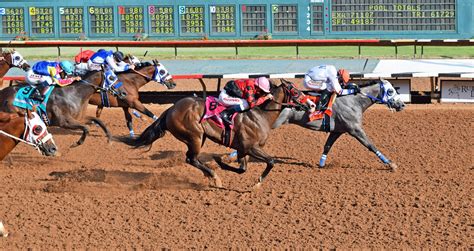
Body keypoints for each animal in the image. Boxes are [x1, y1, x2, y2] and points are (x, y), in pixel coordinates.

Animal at [118, 79, 304, 187]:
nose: (308, 104)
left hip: (199, 137)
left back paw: (211, 174)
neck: (260, 114)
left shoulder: (242, 149)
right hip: (195, 136)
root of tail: (171, 109)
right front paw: (257, 183)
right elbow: (271, 161)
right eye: (296, 92)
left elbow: (242, 169)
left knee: (191, 159)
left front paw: (220, 161)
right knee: (191, 158)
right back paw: (214, 176)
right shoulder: (250, 147)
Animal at [272, 79, 406, 172]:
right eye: (390, 91)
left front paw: (321, 164)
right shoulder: (355, 129)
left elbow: (327, 146)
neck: (353, 101)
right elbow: (370, 145)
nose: (402, 104)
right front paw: (391, 164)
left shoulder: (337, 131)